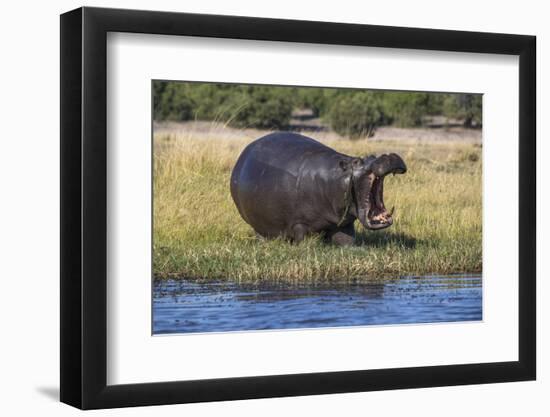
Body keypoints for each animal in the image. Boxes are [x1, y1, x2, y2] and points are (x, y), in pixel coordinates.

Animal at [229, 132, 406, 244]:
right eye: (357, 161)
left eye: (372, 156)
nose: (387, 155)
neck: (336, 178)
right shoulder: (299, 223)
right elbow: (303, 239)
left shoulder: (343, 224)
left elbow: (346, 241)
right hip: (258, 225)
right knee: (262, 234)